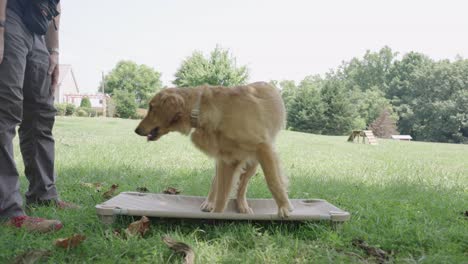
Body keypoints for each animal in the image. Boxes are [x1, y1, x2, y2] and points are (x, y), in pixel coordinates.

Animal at [135, 82, 292, 217]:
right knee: (215, 181)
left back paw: (242, 205)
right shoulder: (226, 159)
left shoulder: (263, 148)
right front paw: (216, 215)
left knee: (242, 186)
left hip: (252, 164)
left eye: (151, 107)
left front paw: (284, 207)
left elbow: (273, 181)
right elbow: (221, 195)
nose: (136, 130)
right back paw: (209, 203)